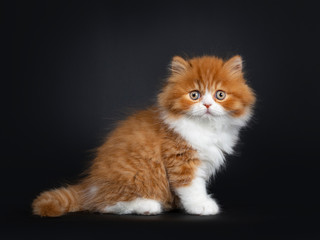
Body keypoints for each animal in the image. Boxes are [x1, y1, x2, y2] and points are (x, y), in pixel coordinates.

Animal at [31, 55, 255, 217]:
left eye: (220, 95)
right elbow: (192, 187)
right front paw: (201, 206)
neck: (205, 128)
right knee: (104, 205)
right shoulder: (181, 159)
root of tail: (90, 185)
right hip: (131, 179)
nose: (207, 105)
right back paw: (146, 206)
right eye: (194, 95)